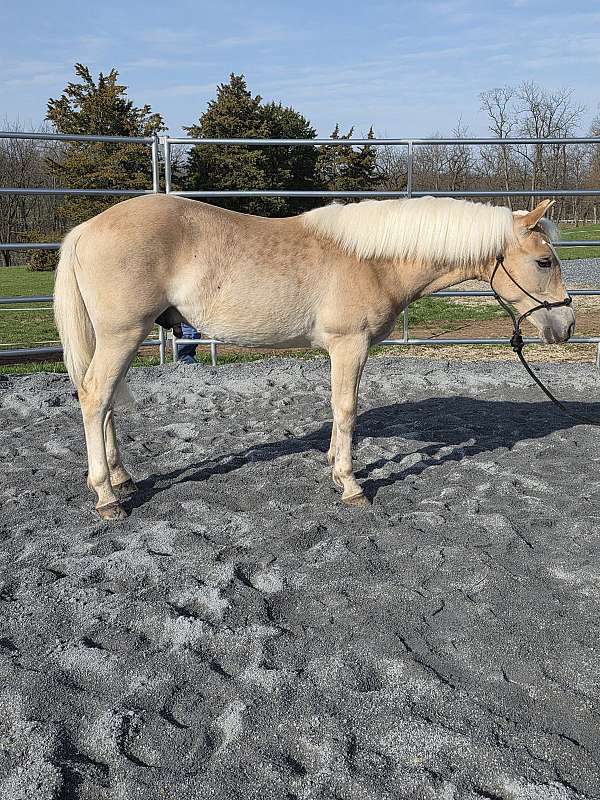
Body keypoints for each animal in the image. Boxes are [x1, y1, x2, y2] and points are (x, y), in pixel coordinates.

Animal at [53, 195, 575, 520]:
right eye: (544, 261)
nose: (566, 327)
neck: (374, 260)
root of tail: (86, 228)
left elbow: (337, 411)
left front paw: (333, 463)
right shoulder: (350, 345)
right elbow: (346, 410)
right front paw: (350, 484)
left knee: (105, 403)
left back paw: (122, 479)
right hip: (123, 335)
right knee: (95, 397)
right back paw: (107, 497)